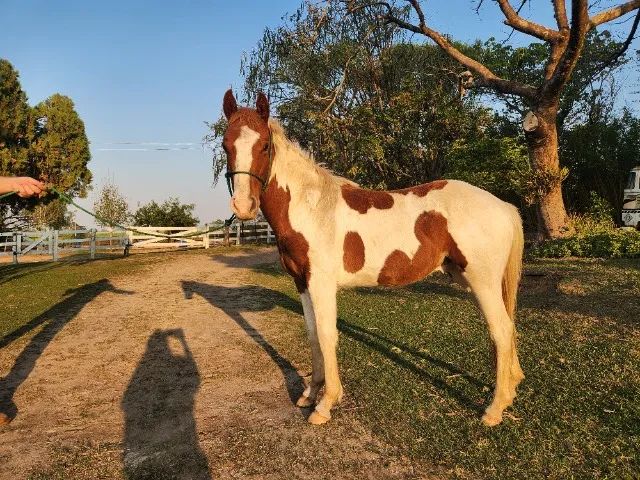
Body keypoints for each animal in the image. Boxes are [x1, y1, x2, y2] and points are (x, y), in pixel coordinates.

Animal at [220, 89, 525, 427]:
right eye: (225, 144)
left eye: (264, 145)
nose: (244, 207)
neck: (312, 208)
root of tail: (503, 206)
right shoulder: (302, 282)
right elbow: (312, 336)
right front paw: (310, 395)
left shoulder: (321, 284)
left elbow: (327, 336)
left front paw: (325, 404)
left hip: (482, 282)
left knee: (501, 332)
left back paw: (494, 409)